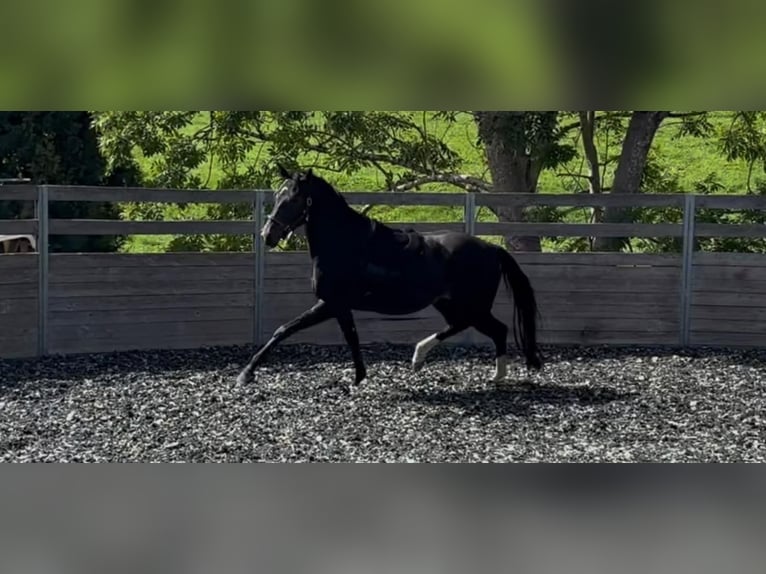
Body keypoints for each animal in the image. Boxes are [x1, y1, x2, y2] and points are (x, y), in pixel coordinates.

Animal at [236, 166, 543, 388]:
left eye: (293, 199)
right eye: (277, 197)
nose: (267, 235)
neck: (345, 243)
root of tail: (493, 248)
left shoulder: (332, 304)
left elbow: (288, 330)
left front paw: (246, 374)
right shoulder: (337, 306)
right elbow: (342, 336)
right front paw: (359, 376)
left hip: (472, 306)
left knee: (493, 329)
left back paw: (483, 373)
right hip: (449, 303)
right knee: (470, 327)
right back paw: (430, 361)